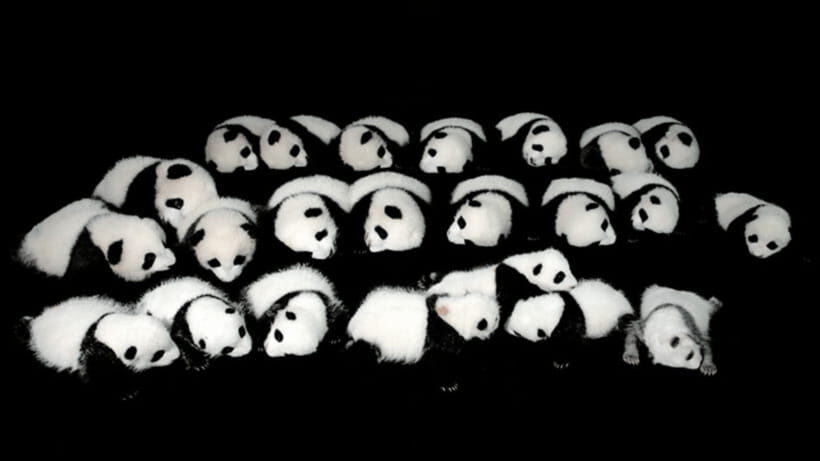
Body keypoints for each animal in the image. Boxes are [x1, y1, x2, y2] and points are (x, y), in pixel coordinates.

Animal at [20, 296, 179, 394]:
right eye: (158, 354)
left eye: (170, 338)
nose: (177, 357)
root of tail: (36, 322)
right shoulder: (97, 352)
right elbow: (101, 373)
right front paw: (127, 392)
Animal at [346, 286, 500, 391]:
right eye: (482, 323)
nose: (497, 319)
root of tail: (354, 323)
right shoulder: (436, 337)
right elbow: (438, 362)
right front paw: (449, 384)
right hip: (370, 340)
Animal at [496, 269, 634, 369]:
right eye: (511, 313)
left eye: (517, 333)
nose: (506, 328)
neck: (551, 310)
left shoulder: (570, 323)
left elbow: (571, 339)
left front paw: (561, 361)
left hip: (620, 316)